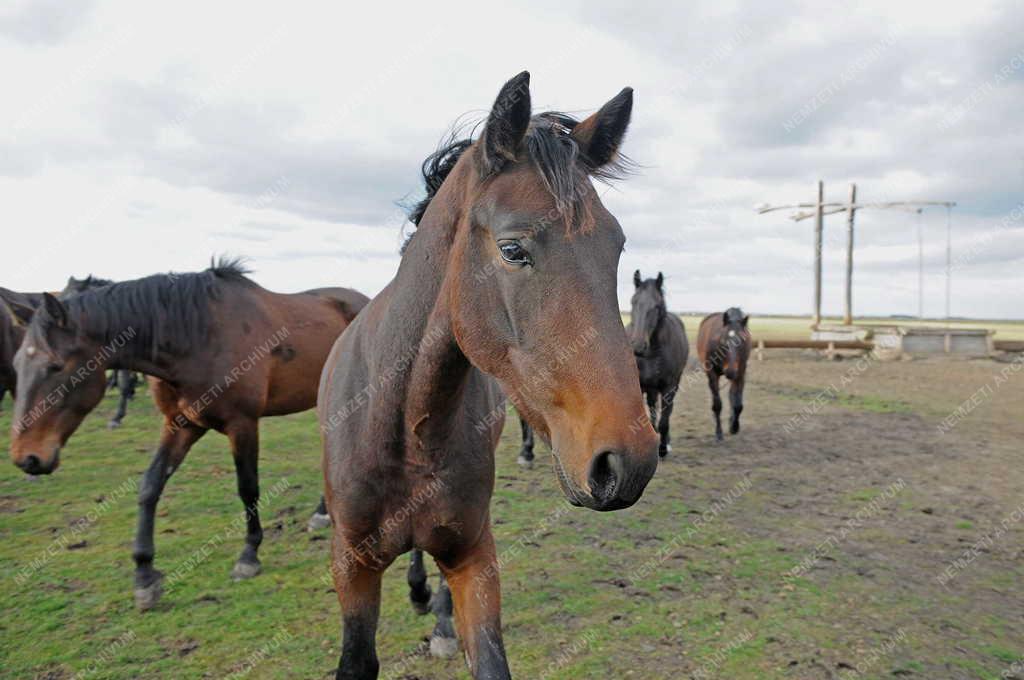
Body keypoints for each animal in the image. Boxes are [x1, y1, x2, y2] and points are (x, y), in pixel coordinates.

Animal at [8, 260, 368, 610]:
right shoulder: (180, 424)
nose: (27, 458)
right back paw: (322, 513)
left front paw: (249, 555)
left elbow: (248, 488)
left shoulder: (242, 423)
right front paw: (145, 576)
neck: (198, 338)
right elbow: (150, 486)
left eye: (55, 366)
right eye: (16, 364)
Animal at [315, 73, 659, 680]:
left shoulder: (474, 556)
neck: (401, 427)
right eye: (512, 249)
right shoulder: (351, 566)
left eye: (615, 247)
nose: (628, 461)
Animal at [622, 270, 688, 456]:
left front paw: (663, 448)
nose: (637, 345)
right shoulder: (643, 386)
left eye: (657, 306)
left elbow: (665, 420)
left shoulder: (668, 387)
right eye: (633, 302)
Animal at [696, 307, 753, 440]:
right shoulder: (712, 374)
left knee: (732, 395)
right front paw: (719, 432)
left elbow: (738, 404)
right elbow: (717, 405)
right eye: (723, 340)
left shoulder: (741, 372)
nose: (730, 371)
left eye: (742, 340)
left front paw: (734, 427)